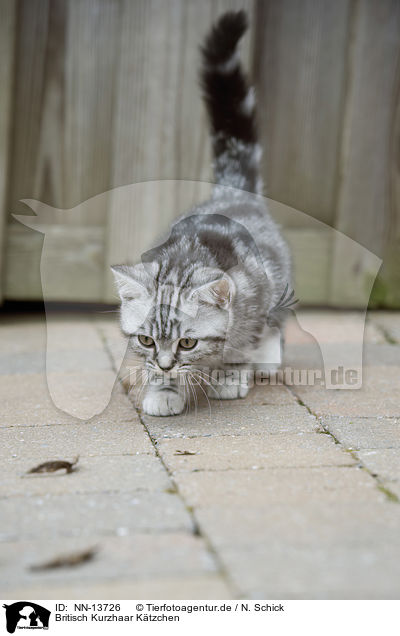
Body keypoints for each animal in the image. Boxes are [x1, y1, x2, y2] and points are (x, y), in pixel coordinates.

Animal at [111, 11, 290, 418]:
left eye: (187, 343)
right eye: (146, 340)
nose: (165, 365)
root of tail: (231, 190)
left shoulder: (255, 295)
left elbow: (244, 341)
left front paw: (229, 377)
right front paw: (162, 390)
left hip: (278, 276)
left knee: (275, 321)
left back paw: (268, 356)